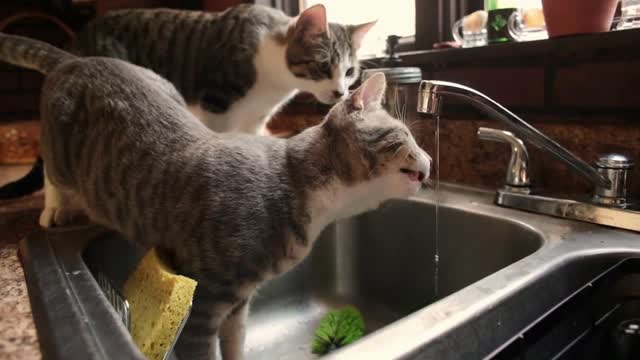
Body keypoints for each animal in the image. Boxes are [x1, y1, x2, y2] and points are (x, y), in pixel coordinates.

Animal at [0, 32, 430, 358]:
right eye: (405, 137)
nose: (428, 163)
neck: (301, 189)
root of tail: (79, 60)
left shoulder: (238, 301)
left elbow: (235, 340)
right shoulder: (205, 300)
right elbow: (202, 349)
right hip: (60, 149)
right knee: (53, 173)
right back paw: (57, 210)